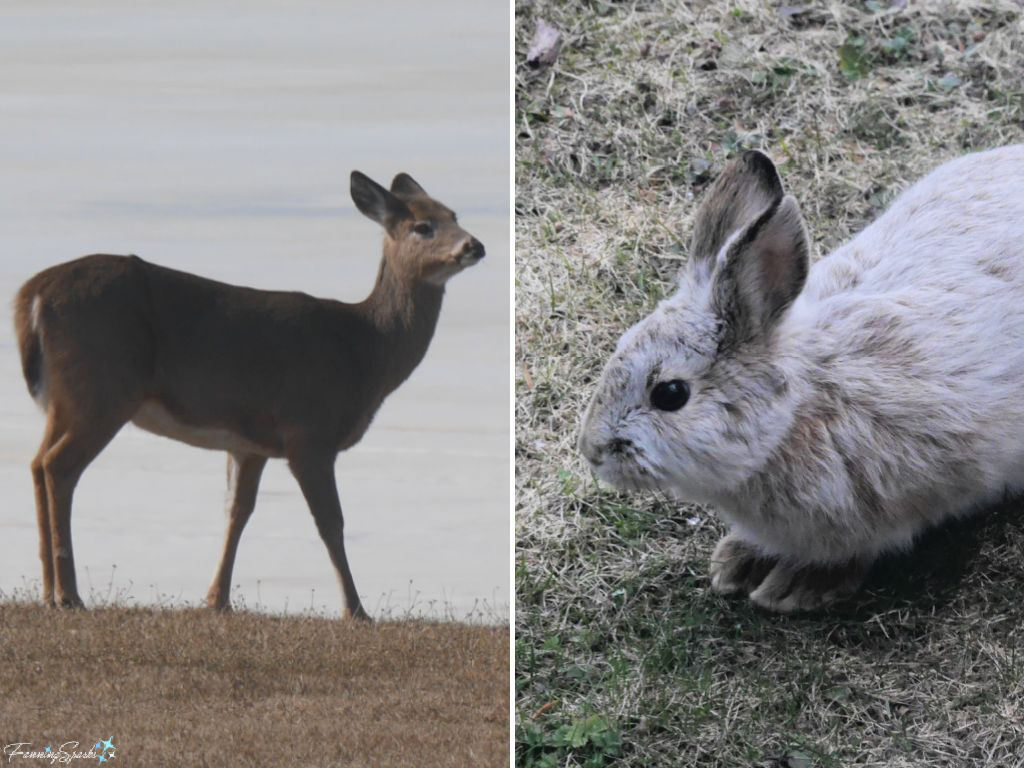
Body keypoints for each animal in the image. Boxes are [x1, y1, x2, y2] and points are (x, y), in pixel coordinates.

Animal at [13, 171, 484, 621]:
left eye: (454, 214)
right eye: (422, 225)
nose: (474, 246)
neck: (364, 351)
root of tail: (30, 296)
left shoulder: (251, 444)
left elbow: (236, 512)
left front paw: (217, 599)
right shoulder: (309, 431)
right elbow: (330, 522)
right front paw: (356, 610)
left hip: (65, 400)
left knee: (36, 463)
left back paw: (47, 592)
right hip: (104, 389)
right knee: (59, 467)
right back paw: (69, 595)